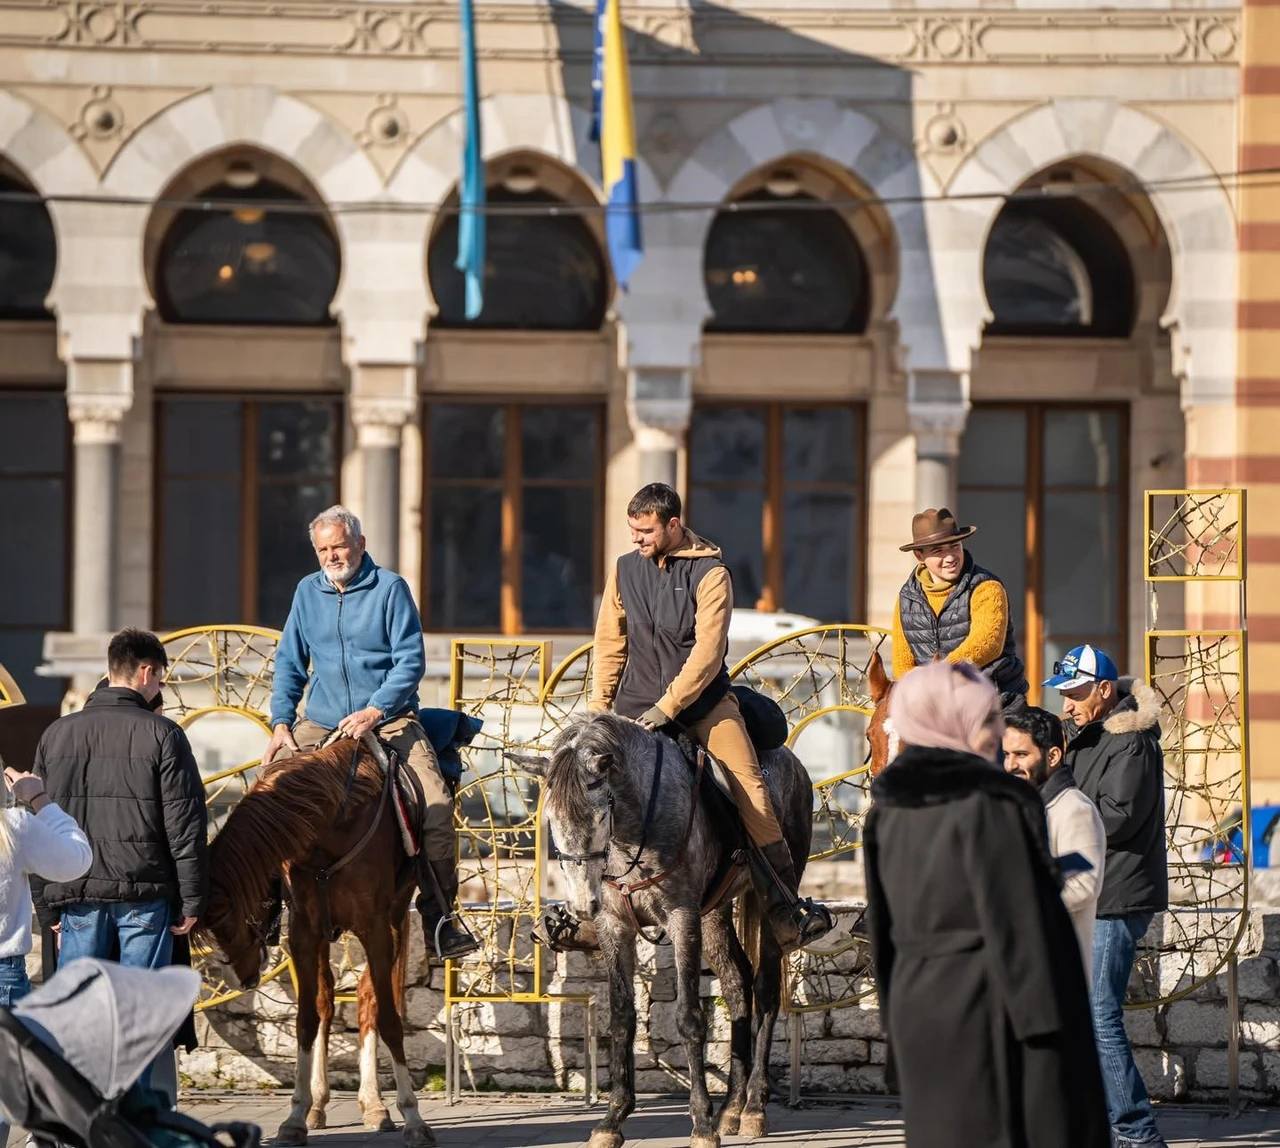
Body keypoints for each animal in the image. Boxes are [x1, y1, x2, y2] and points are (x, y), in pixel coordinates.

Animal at [197, 737, 432, 1141]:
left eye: (226, 922)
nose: (241, 979)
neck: (333, 826)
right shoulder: (304, 933)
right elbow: (307, 1019)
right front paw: (295, 1115)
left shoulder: (376, 928)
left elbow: (388, 1018)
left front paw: (413, 1117)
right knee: (326, 1000)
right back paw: (319, 1103)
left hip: (396, 916)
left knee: (370, 998)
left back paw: (374, 1103)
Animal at [506, 711, 808, 1141]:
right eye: (552, 820)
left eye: (600, 814)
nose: (582, 905)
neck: (632, 834)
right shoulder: (615, 926)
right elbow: (621, 1018)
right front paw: (612, 1119)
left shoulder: (682, 919)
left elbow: (689, 1018)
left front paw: (701, 1124)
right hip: (714, 912)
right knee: (737, 984)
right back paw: (732, 1108)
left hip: (768, 899)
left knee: (765, 989)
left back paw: (752, 1107)